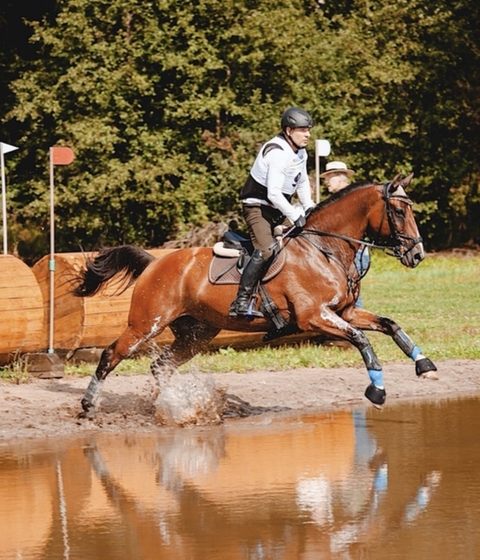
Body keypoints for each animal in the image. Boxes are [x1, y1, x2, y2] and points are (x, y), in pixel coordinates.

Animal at [73, 173, 436, 418]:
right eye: (399, 212)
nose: (417, 255)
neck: (325, 249)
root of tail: (155, 262)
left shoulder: (344, 312)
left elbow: (389, 325)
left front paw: (424, 365)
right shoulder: (315, 316)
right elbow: (362, 340)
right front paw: (377, 390)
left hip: (196, 333)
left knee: (161, 366)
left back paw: (168, 407)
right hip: (146, 324)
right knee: (110, 355)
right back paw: (89, 404)